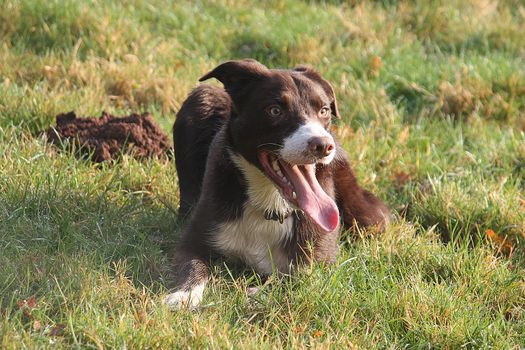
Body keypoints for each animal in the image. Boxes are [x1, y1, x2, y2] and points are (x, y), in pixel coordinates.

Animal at [164, 58, 388, 308]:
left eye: (324, 110)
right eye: (275, 110)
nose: (323, 145)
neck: (271, 204)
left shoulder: (322, 258)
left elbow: (301, 275)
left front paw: (257, 293)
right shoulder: (197, 235)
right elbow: (191, 263)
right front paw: (184, 295)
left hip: (368, 216)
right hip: (201, 97)